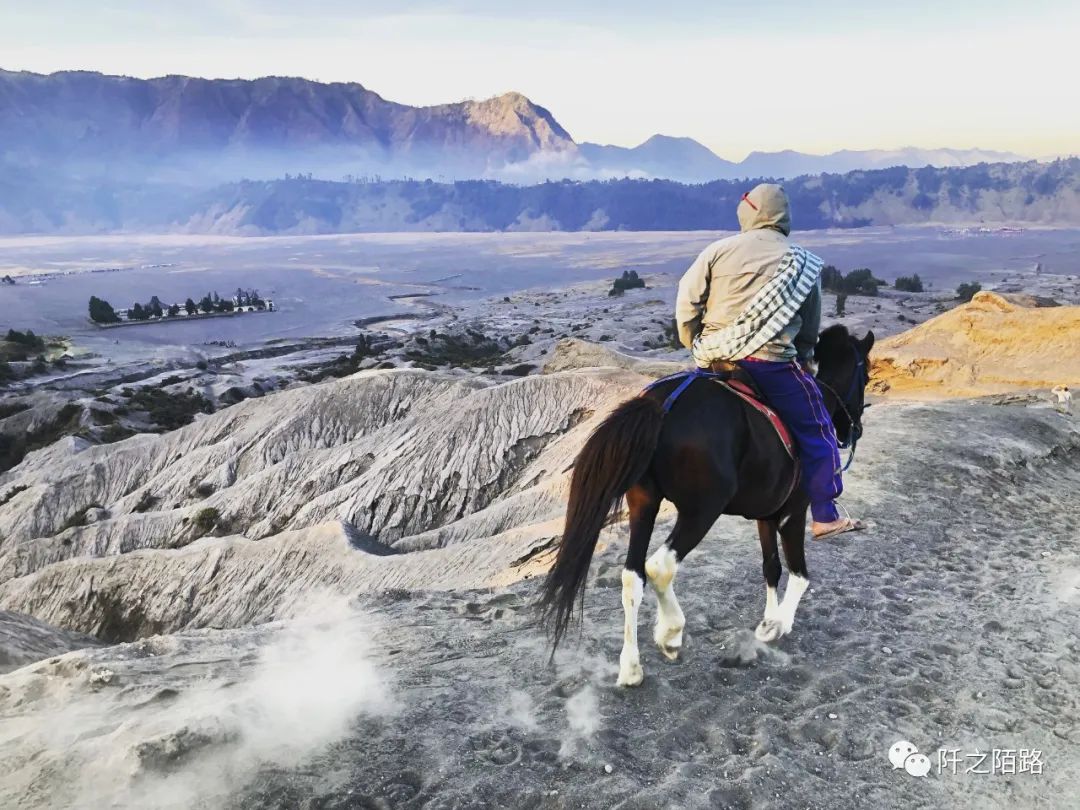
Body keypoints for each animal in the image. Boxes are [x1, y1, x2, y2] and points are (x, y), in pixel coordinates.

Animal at [535, 324, 872, 686]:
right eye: (866, 373)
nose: (854, 430)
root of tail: (661, 404)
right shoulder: (793, 512)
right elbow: (799, 574)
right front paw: (779, 623)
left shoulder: (766, 514)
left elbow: (771, 567)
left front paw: (768, 620)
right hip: (701, 511)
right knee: (660, 568)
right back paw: (670, 633)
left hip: (644, 503)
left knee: (632, 576)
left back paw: (631, 667)